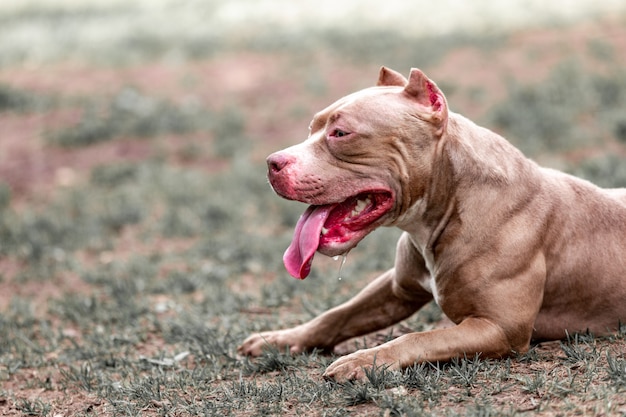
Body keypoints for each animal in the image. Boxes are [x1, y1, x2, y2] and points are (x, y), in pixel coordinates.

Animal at [235, 66, 624, 380]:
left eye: (341, 133)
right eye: (311, 127)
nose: (272, 163)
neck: (448, 206)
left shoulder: (500, 328)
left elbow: (418, 337)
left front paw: (363, 360)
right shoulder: (398, 287)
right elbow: (337, 315)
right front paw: (282, 338)